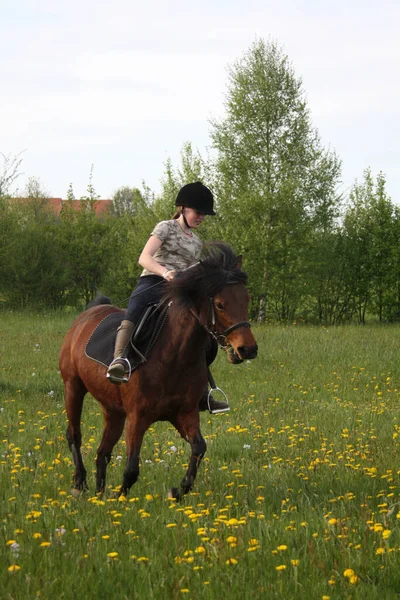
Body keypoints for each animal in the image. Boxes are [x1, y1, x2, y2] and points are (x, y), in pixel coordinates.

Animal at [60, 241, 258, 500]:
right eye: (220, 304)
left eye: (246, 299)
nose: (248, 349)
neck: (173, 358)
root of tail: (87, 316)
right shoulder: (137, 417)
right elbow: (132, 468)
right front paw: (120, 498)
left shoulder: (185, 414)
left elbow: (199, 448)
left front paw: (177, 491)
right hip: (73, 387)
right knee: (74, 435)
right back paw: (79, 483)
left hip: (113, 409)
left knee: (103, 452)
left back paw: (99, 495)